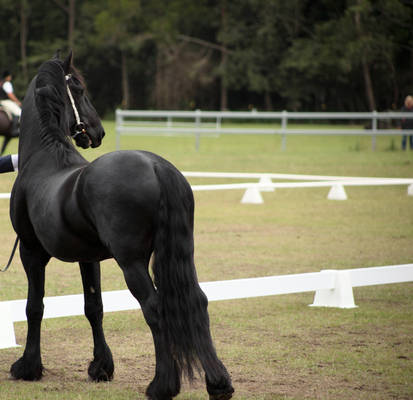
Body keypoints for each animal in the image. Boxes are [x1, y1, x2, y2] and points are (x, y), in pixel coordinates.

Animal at [9, 52, 233, 400]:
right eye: (81, 90)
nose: (98, 132)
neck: (44, 157)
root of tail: (156, 166)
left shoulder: (32, 253)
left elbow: (35, 307)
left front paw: (28, 367)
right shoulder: (88, 258)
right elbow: (94, 307)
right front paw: (101, 367)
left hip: (131, 262)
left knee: (155, 308)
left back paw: (161, 385)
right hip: (180, 255)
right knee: (197, 300)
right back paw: (219, 384)